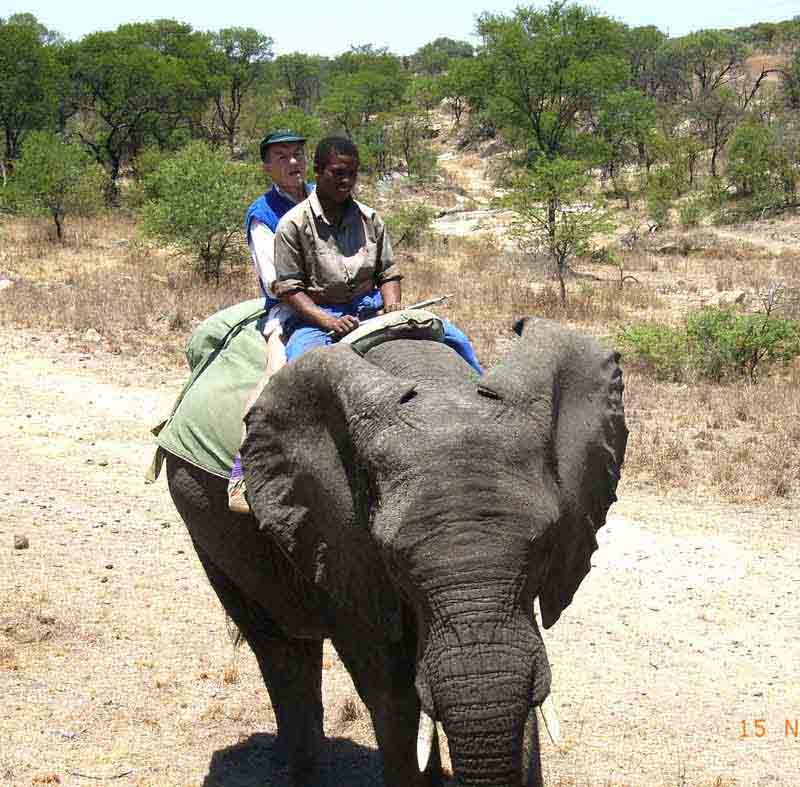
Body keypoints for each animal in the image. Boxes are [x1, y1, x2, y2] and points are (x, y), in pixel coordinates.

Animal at [167, 318, 624, 787]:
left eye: (547, 544)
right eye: (393, 559)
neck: (440, 388)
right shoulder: (341, 542)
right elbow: (395, 694)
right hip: (202, 519)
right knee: (280, 650)